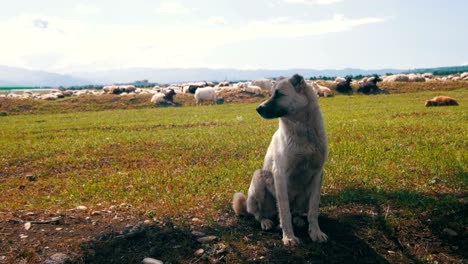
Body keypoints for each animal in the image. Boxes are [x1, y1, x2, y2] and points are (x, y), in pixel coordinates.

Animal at [231, 73, 328, 245]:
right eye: (271, 93)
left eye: (279, 94)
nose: (258, 108)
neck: (304, 132)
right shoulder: (280, 175)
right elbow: (284, 211)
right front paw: (289, 237)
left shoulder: (317, 175)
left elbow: (313, 210)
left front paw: (315, 232)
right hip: (258, 179)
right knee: (259, 214)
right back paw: (266, 222)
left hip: (304, 194)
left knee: (296, 212)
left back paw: (298, 219)